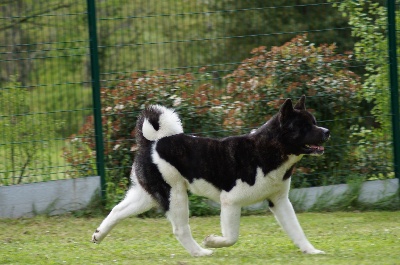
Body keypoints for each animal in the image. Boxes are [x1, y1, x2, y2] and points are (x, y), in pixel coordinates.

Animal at [92, 95, 330, 256]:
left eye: (314, 122)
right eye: (304, 126)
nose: (327, 132)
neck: (266, 149)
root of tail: (152, 142)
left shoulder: (280, 201)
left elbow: (296, 229)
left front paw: (311, 251)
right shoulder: (231, 202)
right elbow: (232, 237)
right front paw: (212, 241)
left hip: (149, 195)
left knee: (118, 210)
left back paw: (98, 235)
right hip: (175, 195)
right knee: (180, 229)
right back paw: (201, 252)